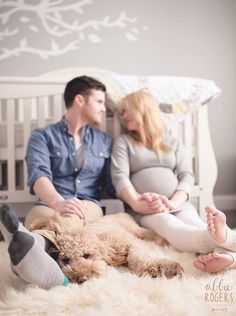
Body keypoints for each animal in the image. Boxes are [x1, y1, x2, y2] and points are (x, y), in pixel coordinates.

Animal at [29, 211, 183, 282]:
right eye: (66, 260)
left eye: (86, 255)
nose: (81, 279)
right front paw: (167, 268)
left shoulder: (131, 243)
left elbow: (137, 256)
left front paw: (151, 269)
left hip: (135, 230)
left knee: (150, 233)